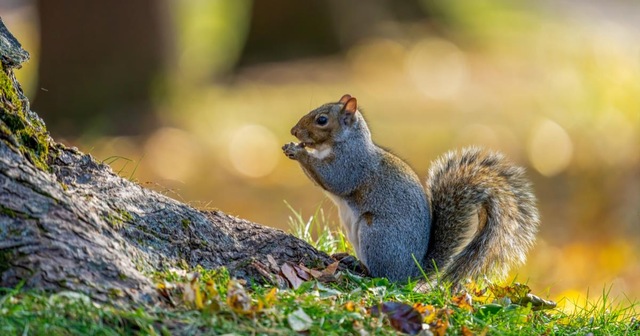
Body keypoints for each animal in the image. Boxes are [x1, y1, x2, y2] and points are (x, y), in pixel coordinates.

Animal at [282, 94, 536, 284]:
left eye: (322, 119)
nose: (294, 131)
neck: (345, 141)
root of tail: (411, 273)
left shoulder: (351, 164)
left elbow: (334, 179)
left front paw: (299, 151)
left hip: (377, 235)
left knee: (384, 276)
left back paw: (362, 269)